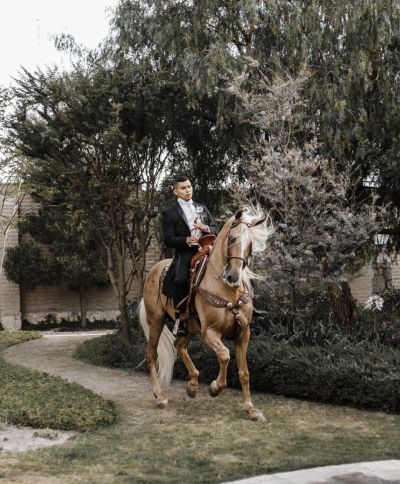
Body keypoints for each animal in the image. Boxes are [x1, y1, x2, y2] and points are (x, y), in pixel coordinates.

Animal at [139, 206, 274, 422]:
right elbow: (225, 355)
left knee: (179, 345)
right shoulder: (210, 332)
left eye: (250, 243)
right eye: (232, 239)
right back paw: (160, 397)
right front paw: (215, 387)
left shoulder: (243, 334)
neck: (228, 290)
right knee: (151, 355)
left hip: (189, 326)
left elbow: (244, 372)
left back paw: (192, 385)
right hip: (156, 321)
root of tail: (153, 271)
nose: (233, 276)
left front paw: (251, 409)